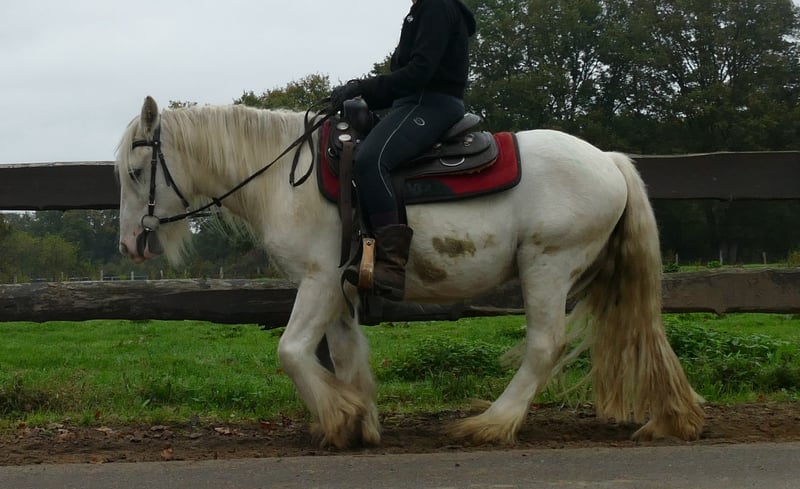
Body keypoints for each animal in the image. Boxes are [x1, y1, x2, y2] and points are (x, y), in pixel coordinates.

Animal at [116, 96, 704, 449]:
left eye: (138, 171)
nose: (131, 244)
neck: (286, 177)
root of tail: (610, 161)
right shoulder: (338, 289)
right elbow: (346, 355)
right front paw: (359, 422)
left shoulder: (320, 279)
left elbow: (291, 352)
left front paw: (338, 417)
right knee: (640, 332)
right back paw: (670, 416)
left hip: (548, 266)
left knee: (545, 345)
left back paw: (492, 423)